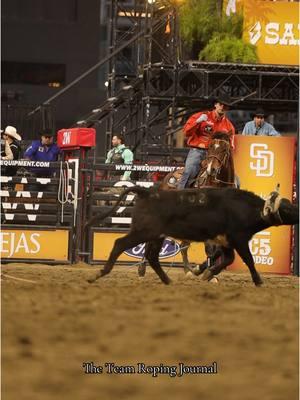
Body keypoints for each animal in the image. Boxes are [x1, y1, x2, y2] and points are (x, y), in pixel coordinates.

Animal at [138, 133, 237, 276]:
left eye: (224, 149)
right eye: (210, 147)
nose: (211, 169)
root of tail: (166, 179)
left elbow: (219, 251)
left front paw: (204, 270)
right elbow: (210, 249)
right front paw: (205, 271)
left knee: (183, 245)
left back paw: (187, 269)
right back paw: (142, 267)